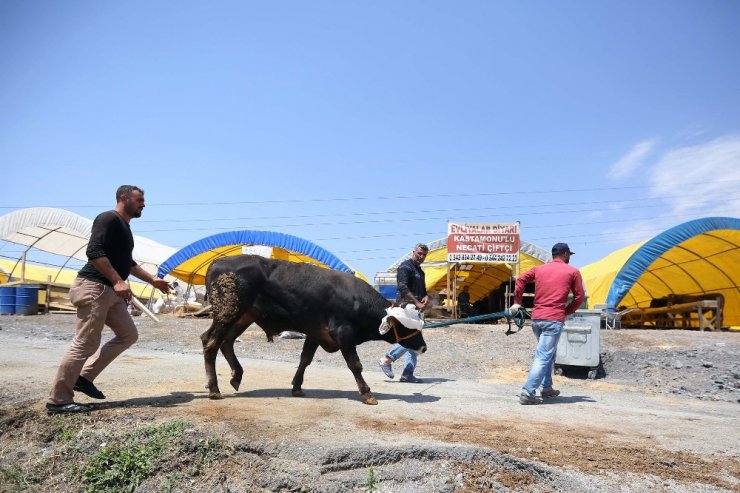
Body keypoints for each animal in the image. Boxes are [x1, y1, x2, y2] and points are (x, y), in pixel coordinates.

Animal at [201, 254, 428, 404]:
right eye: (406, 326)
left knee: (224, 342)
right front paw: (367, 393)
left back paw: (236, 376)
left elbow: (305, 360)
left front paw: (297, 387)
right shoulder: (344, 334)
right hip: (227, 315)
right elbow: (355, 365)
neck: (356, 300)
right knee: (211, 343)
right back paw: (214, 389)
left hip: (242, 316)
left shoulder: (315, 333)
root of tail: (218, 263)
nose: (423, 347)